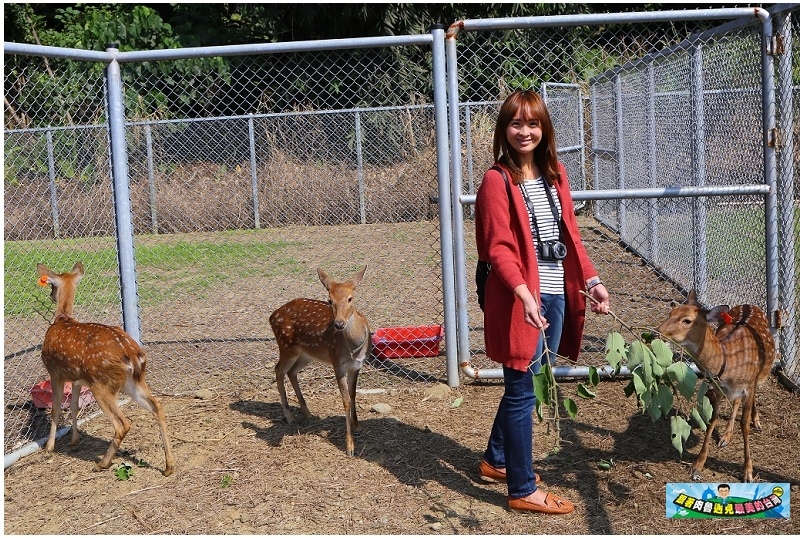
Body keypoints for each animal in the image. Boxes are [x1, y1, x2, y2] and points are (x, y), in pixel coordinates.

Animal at [36, 260, 175, 474]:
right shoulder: (77, 379)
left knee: (123, 423)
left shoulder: (54, 372)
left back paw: (103, 462)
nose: (51, 296)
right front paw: (74, 442)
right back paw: (169, 466)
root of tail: (132, 354)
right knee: (157, 406)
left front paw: (49, 448)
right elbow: (74, 406)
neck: (62, 318)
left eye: (52, 286)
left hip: (101, 384)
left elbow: (57, 408)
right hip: (133, 381)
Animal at [268, 266, 370, 454]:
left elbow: (353, 394)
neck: (354, 347)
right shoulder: (337, 363)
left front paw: (357, 425)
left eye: (350, 298)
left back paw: (307, 412)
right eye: (329, 300)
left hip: (306, 354)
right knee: (279, 369)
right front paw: (350, 446)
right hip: (286, 346)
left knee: (291, 372)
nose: (339, 324)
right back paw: (289, 416)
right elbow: (345, 399)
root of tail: (272, 316)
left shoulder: (357, 365)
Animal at [656, 288, 776, 482]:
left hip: (762, 371)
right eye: (670, 313)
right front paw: (698, 465)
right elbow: (712, 420)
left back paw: (756, 421)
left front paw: (748, 472)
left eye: (687, 320)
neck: (726, 363)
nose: (657, 332)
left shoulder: (748, 386)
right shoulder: (718, 388)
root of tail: (750, 305)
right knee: (735, 402)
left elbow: (744, 424)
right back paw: (726, 436)